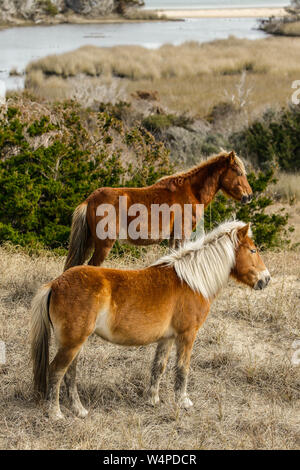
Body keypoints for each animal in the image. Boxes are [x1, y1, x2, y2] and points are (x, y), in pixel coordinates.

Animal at [30, 220, 270, 418]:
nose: (265, 279)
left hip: (74, 343)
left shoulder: (167, 338)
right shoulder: (187, 335)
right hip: (73, 342)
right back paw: (56, 414)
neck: (192, 281)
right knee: (56, 371)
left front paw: (152, 399)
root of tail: (55, 284)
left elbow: (158, 367)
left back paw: (79, 410)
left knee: (70, 373)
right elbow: (182, 369)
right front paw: (183, 402)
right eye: (253, 250)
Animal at [63, 149, 253, 270]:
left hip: (89, 242)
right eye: (238, 172)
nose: (249, 196)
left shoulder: (173, 237)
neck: (191, 191)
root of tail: (89, 200)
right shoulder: (183, 233)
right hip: (104, 244)